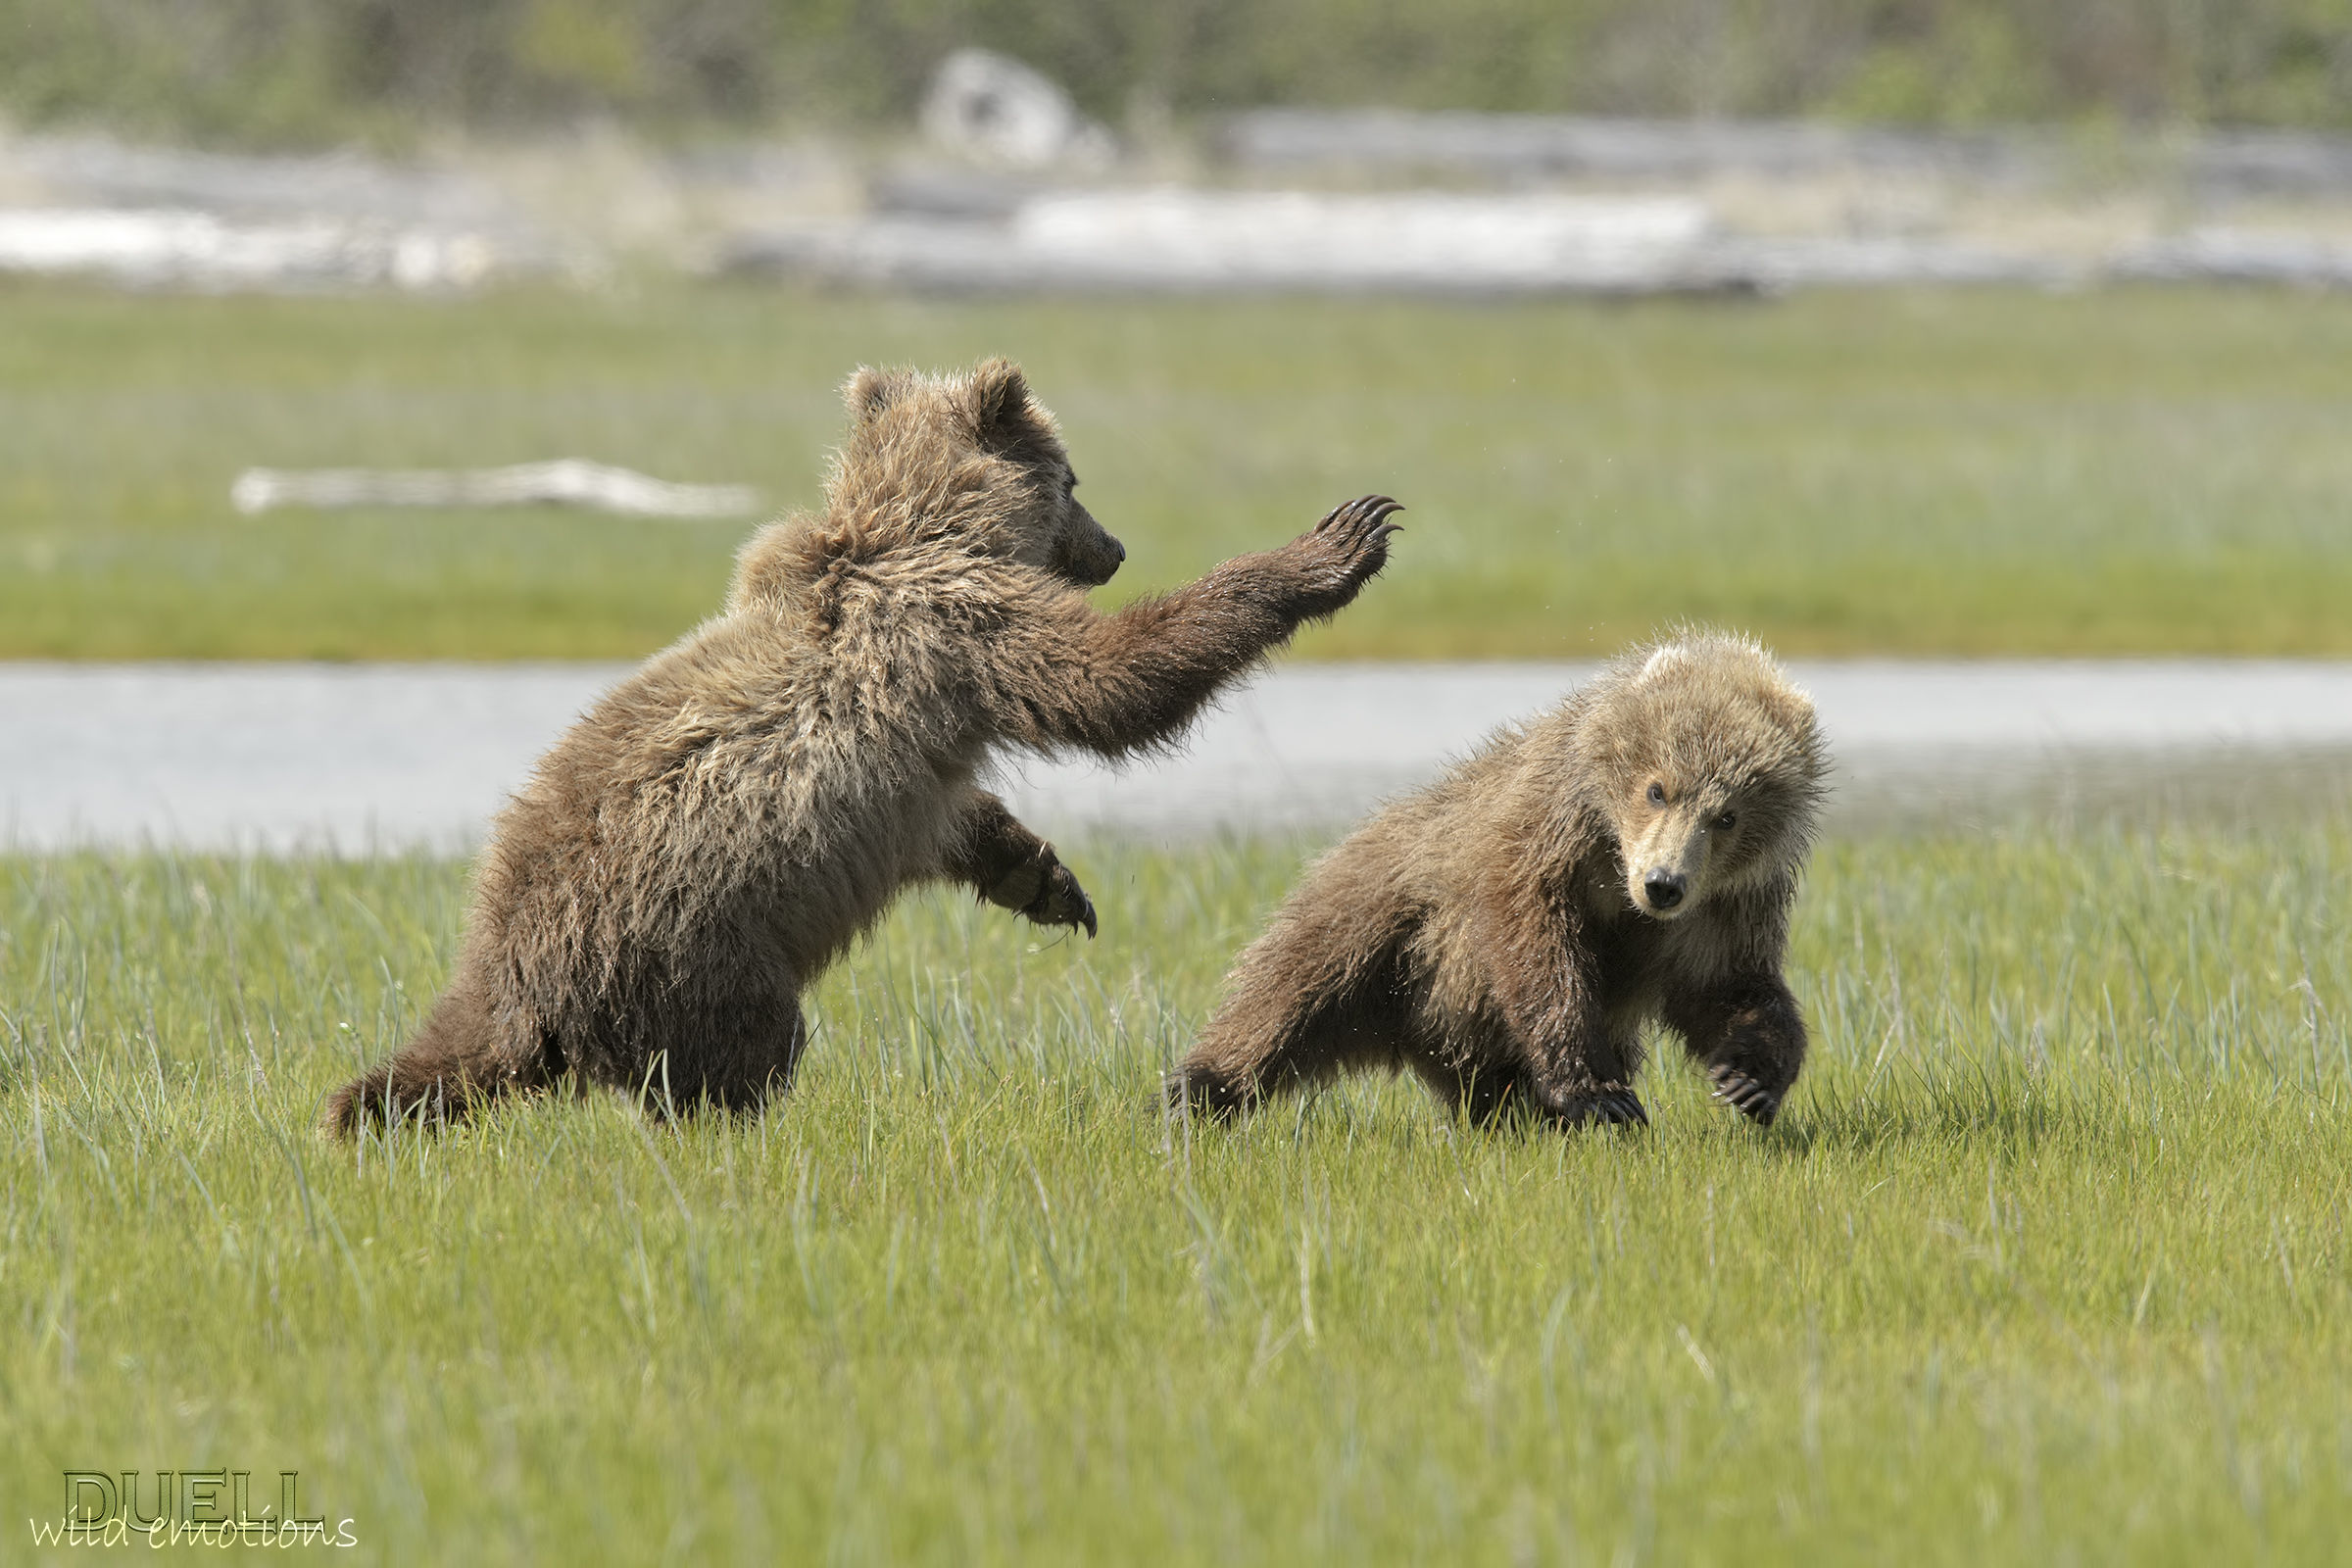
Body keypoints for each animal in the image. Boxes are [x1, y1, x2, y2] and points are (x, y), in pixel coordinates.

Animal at [324, 356, 1404, 1135]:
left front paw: (1049, 880)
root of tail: (517, 967)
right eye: (1074, 477)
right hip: (698, 948)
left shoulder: (914, 746)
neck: (912, 528)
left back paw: (364, 1111)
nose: (1115, 548)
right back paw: (743, 1127)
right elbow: (1111, 683)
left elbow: (964, 820)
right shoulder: (958, 627)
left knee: (436, 1062)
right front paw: (1334, 545)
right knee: (740, 1056)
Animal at [1169, 631, 1825, 1129]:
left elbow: (1726, 984)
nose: (1663, 883)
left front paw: (1749, 1077)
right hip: (1379, 918)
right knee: (1289, 999)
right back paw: (1193, 1095)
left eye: (1728, 815)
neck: (1614, 865)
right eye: (1658, 788)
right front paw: (1596, 1092)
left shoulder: (1725, 905)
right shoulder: (1542, 836)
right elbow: (1533, 942)